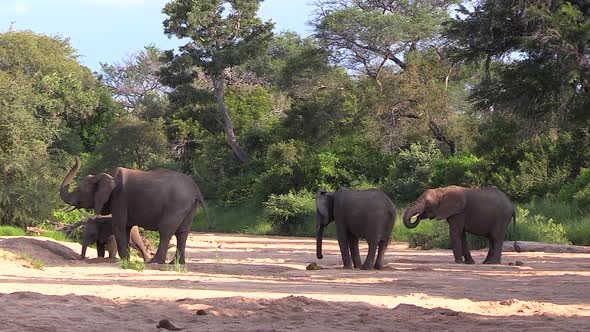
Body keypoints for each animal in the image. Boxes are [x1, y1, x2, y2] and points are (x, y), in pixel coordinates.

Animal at [61, 157, 209, 264]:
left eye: (79, 190)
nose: (76, 158)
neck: (105, 175)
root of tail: (196, 190)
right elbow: (125, 227)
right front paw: (126, 260)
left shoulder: (119, 198)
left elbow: (119, 226)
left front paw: (124, 260)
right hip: (189, 207)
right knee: (182, 233)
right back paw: (176, 263)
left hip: (177, 205)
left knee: (166, 231)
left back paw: (155, 262)